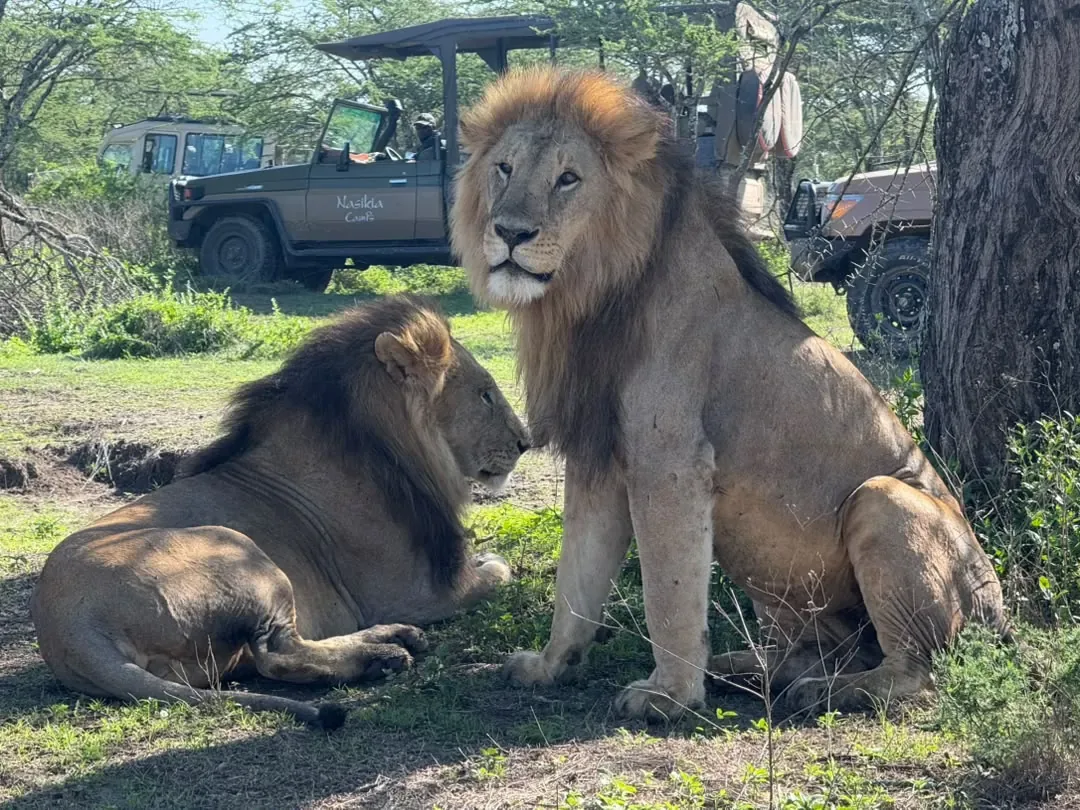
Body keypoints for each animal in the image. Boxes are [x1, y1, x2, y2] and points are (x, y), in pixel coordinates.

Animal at [31, 295, 529, 729]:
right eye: (486, 394)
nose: (526, 442)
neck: (387, 446)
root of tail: (68, 625)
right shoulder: (420, 593)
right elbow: (500, 571)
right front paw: (493, 561)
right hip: (235, 546)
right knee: (278, 654)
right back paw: (382, 657)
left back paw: (392, 637)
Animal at [450, 66, 1009, 720]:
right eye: (504, 169)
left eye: (568, 179)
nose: (509, 232)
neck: (586, 300)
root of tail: (1000, 611)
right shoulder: (596, 460)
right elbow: (576, 582)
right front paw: (548, 666)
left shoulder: (669, 462)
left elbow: (668, 592)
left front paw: (668, 696)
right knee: (809, 650)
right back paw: (748, 669)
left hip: (883, 500)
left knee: (916, 678)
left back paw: (818, 692)